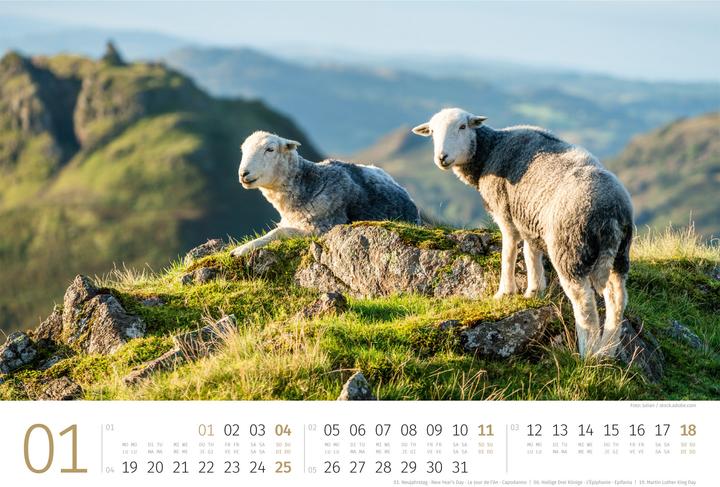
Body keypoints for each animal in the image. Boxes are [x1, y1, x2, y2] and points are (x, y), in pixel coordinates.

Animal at [229, 131, 420, 257]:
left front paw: (240, 250)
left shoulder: (322, 228)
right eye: (243, 150)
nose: (243, 173)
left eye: (270, 149)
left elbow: (278, 232)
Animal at [412, 108, 633, 358]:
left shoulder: (505, 211)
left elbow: (508, 251)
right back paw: (607, 349)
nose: (442, 157)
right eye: (432, 132)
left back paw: (588, 353)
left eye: (462, 127)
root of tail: (610, 213)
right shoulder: (529, 218)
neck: (490, 151)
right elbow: (530, 252)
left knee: (583, 301)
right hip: (620, 253)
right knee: (617, 297)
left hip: (569, 247)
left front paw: (505, 292)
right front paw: (534, 290)